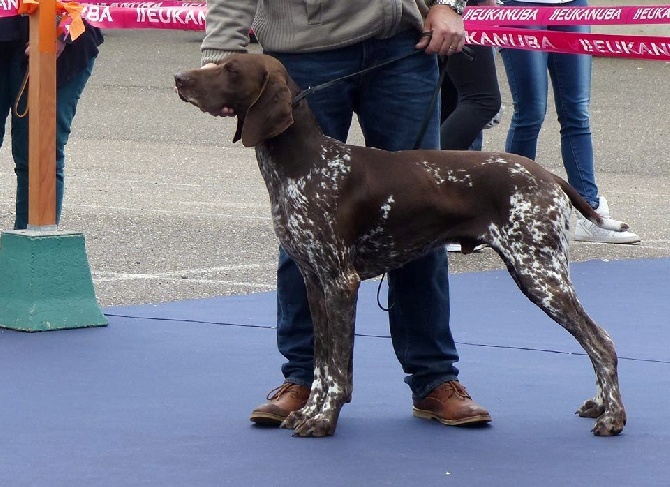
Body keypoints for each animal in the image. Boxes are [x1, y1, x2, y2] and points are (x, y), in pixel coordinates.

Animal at [176, 52, 628, 438]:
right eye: (218, 62)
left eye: (231, 70)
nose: (180, 79)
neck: (304, 164)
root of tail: (549, 176)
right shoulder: (314, 282)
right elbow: (322, 364)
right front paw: (307, 411)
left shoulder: (340, 282)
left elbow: (337, 370)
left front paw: (323, 420)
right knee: (596, 339)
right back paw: (599, 404)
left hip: (540, 272)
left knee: (601, 340)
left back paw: (613, 418)